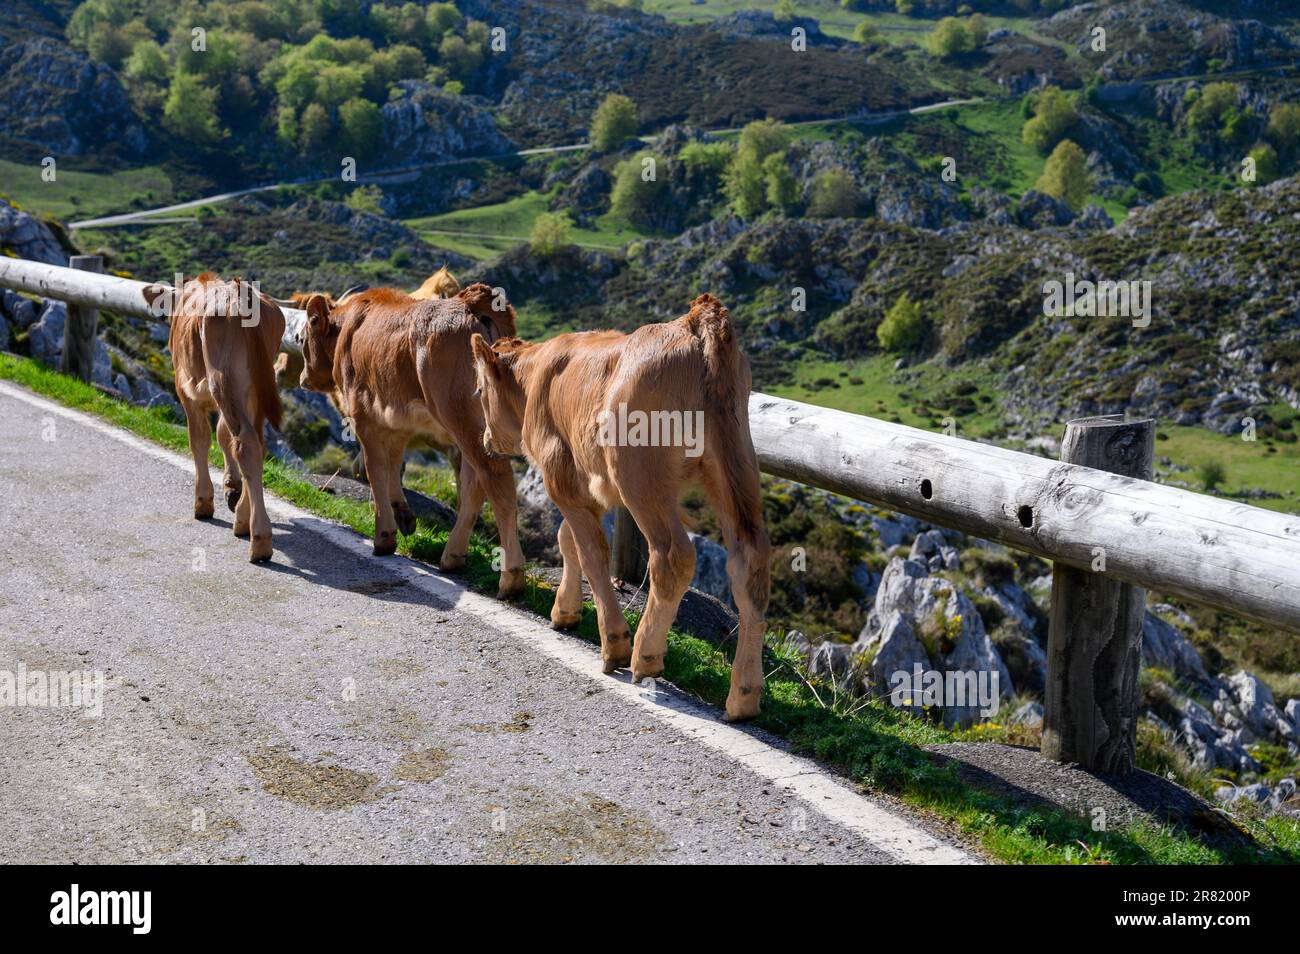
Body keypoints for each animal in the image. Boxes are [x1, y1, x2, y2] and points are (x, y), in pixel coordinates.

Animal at [168, 273, 286, 563]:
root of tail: (240, 291)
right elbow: (222, 434)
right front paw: (231, 487)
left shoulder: (185, 389)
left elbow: (199, 440)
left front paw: (203, 501)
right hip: (253, 389)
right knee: (254, 443)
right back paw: (243, 517)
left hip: (222, 380)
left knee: (247, 444)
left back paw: (259, 540)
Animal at [298, 283, 525, 599]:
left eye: (302, 337)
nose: (303, 378)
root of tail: (470, 301)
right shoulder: (396, 420)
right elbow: (394, 464)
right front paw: (403, 515)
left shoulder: (364, 417)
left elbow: (375, 470)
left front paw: (384, 536)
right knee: (473, 483)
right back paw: (452, 557)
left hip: (461, 417)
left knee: (495, 477)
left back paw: (511, 577)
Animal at [469, 294, 771, 721]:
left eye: (479, 390)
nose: (485, 438)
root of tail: (695, 320)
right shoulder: (584, 483)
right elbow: (567, 539)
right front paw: (564, 611)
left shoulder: (560, 474)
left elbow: (592, 551)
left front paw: (612, 643)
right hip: (736, 463)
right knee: (751, 560)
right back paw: (743, 695)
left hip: (641, 477)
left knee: (673, 555)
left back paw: (645, 655)